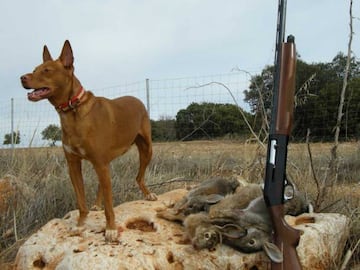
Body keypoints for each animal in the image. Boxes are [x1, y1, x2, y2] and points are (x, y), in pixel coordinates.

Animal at [20, 39, 156, 240]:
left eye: (47, 70)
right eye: (35, 69)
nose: (22, 78)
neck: (72, 110)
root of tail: (136, 99)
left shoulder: (99, 163)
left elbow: (110, 205)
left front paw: (110, 228)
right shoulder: (74, 165)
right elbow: (81, 202)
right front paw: (80, 224)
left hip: (146, 149)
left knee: (138, 177)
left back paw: (148, 194)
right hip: (105, 163)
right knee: (103, 186)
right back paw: (97, 204)